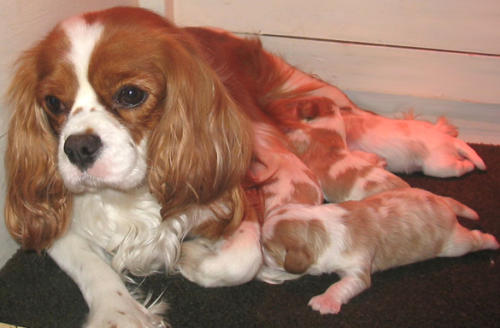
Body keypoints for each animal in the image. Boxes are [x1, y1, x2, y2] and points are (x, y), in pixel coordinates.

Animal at [3, 5, 488, 328]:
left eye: (130, 95)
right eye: (53, 103)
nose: (78, 148)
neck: (134, 195)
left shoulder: (240, 198)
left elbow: (238, 261)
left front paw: (194, 259)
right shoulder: (61, 220)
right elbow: (91, 266)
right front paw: (120, 314)